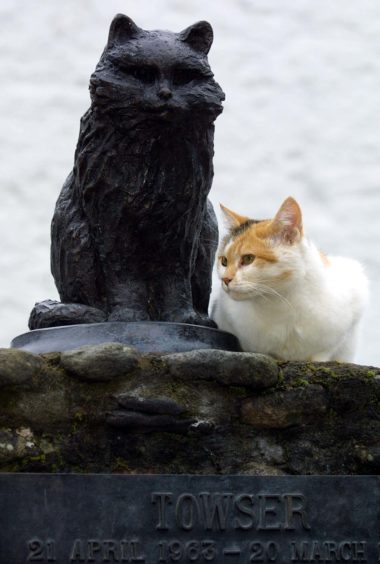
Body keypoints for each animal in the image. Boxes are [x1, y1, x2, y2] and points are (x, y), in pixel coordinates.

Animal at [30, 14, 226, 330]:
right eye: (141, 74)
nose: (165, 94)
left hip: (208, 228)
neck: (154, 153)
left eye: (183, 77)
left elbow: (175, 279)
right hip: (74, 233)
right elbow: (124, 279)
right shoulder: (111, 221)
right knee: (88, 303)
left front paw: (182, 318)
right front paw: (128, 317)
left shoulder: (184, 224)